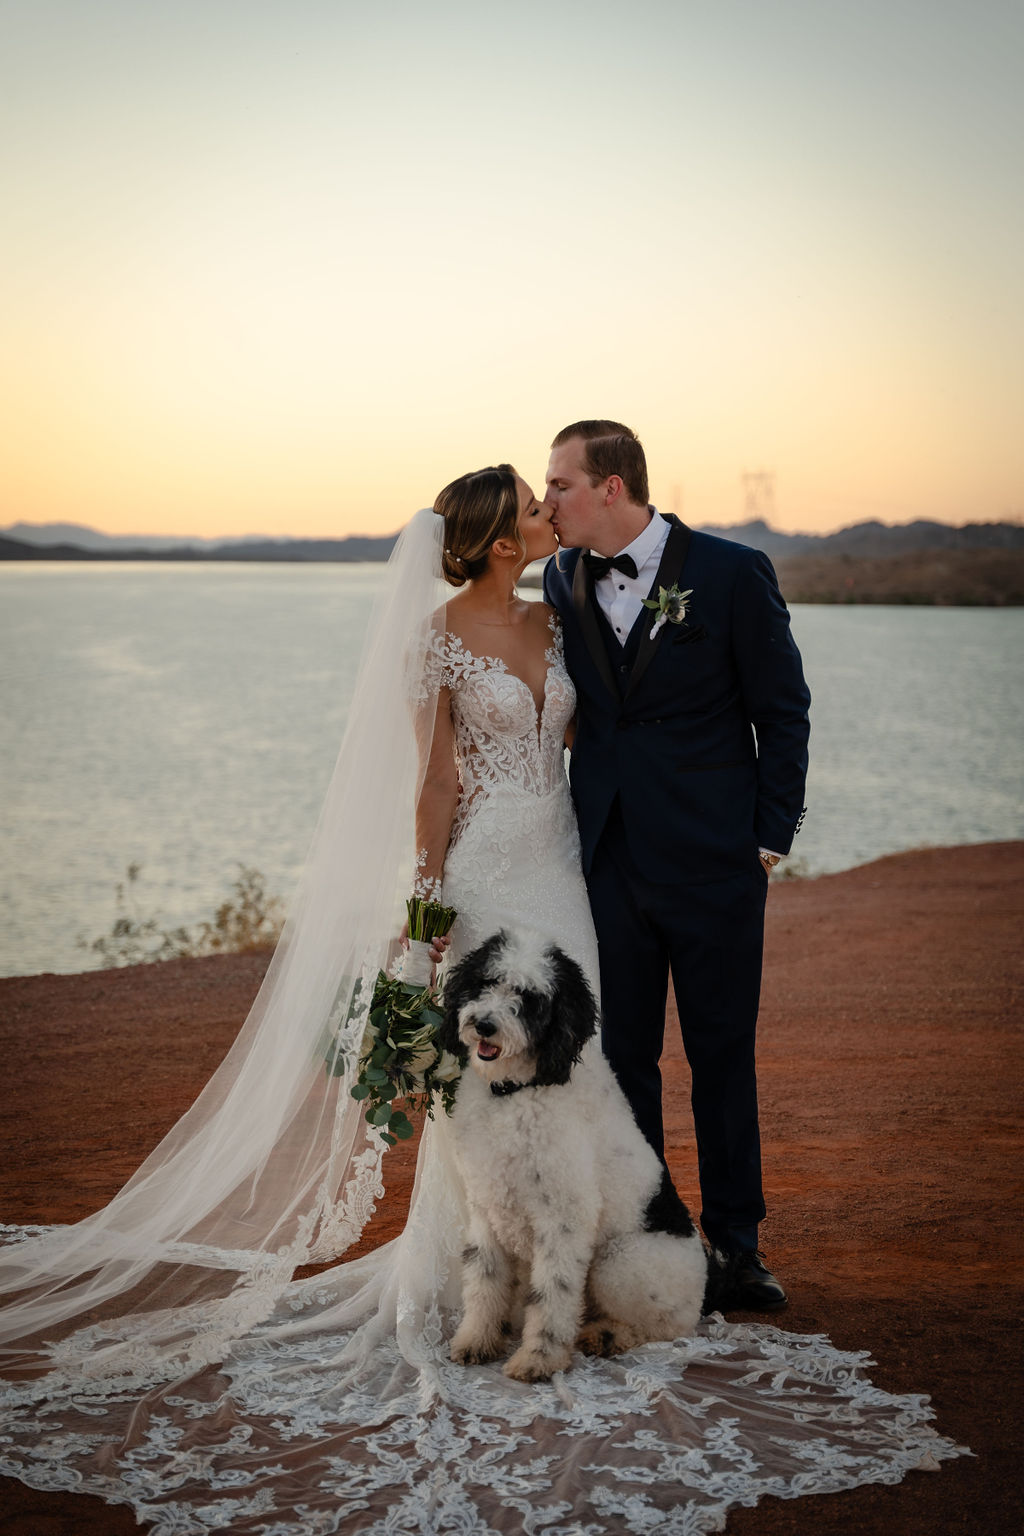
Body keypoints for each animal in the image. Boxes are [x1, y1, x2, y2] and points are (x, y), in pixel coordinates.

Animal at [442, 927, 712, 1388]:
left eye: (530, 998)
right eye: (487, 981)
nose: (484, 1025)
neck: (518, 1091)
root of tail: (703, 1285)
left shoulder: (564, 1217)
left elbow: (553, 1294)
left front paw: (539, 1359)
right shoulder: (485, 1208)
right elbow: (483, 1282)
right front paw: (477, 1340)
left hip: (619, 1263)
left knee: (664, 1327)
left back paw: (607, 1335)